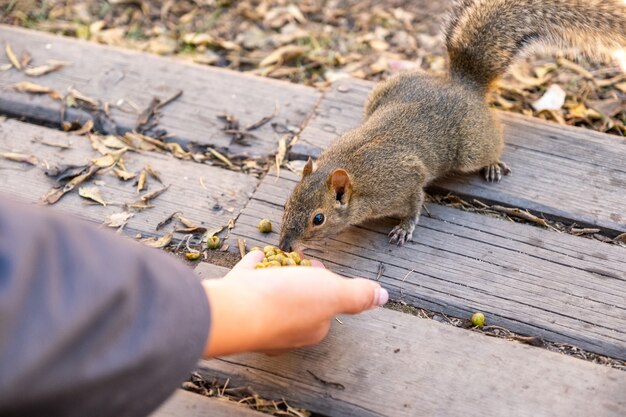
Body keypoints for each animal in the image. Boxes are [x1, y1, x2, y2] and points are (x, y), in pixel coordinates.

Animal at [280, 0, 624, 250]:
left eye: (318, 218)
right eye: (287, 202)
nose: (284, 247)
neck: (354, 174)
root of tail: (462, 83)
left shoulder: (404, 181)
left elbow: (415, 204)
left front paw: (404, 229)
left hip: (473, 145)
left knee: (493, 142)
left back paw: (493, 165)